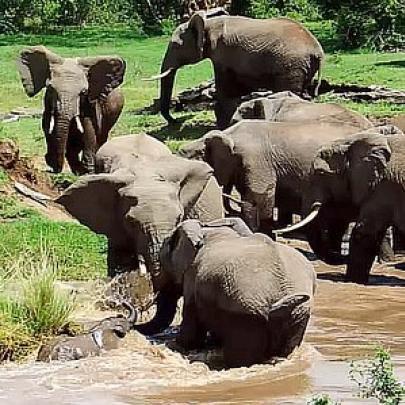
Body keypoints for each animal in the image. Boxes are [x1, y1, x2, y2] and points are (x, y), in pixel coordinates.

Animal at [16, 45, 125, 174]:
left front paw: (88, 171)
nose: (55, 169)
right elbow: (47, 125)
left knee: (101, 136)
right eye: (50, 88)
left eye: (83, 92)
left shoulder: (90, 104)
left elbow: (89, 130)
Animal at [56, 135, 224, 334]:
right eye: (131, 222)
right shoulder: (115, 223)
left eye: (179, 218)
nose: (125, 309)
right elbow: (120, 260)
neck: (143, 170)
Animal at [148, 9, 322, 128]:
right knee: (304, 94)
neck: (209, 23)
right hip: (301, 67)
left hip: (291, 67)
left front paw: (223, 126)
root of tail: (318, 51)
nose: (175, 121)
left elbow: (226, 89)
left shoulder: (222, 53)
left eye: (175, 46)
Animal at [159, 219, 316, 368]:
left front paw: (175, 345)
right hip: (297, 314)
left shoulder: (192, 277)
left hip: (246, 314)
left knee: (240, 359)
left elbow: (191, 331)